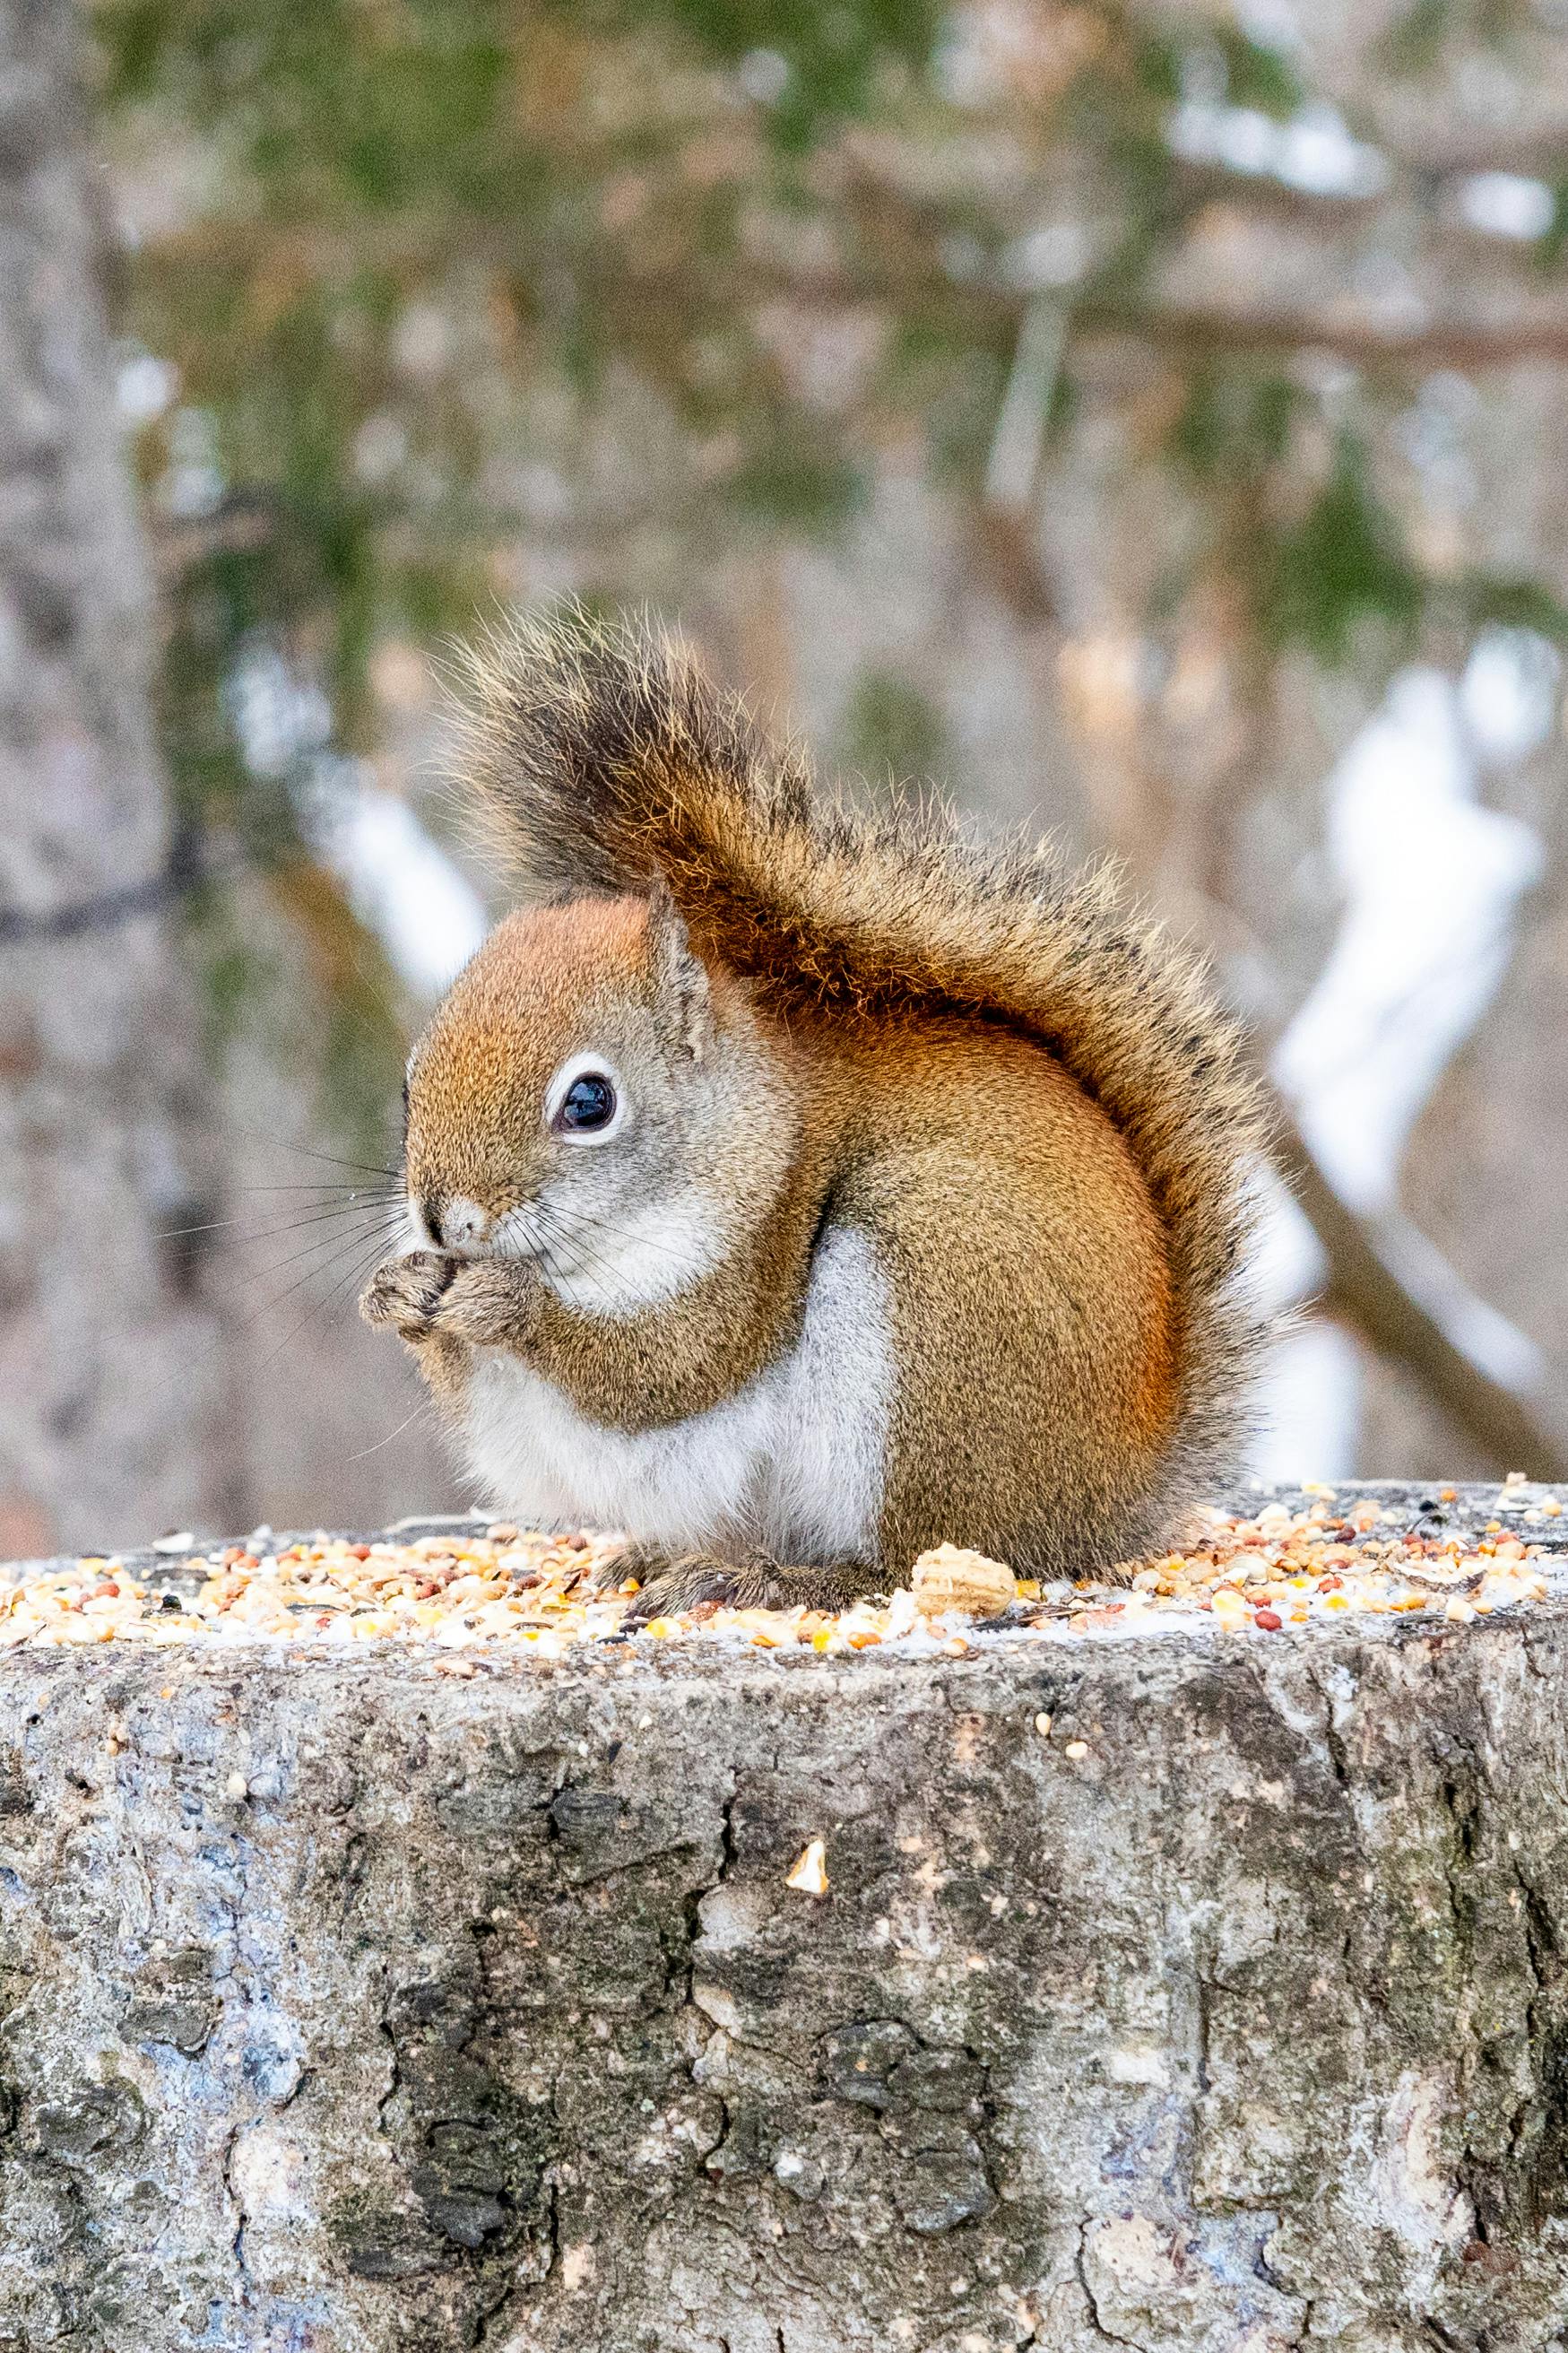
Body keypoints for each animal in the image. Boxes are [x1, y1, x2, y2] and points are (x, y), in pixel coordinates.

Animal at [362, 605, 1269, 1619]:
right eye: (411, 1083)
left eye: (589, 1102)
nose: (443, 1216)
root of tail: (1117, 1492)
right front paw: (399, 1291)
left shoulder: (753, 1260)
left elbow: (666, 1368)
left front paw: (508, 1304)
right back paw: (665, 1558)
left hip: (937, 1302)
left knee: (918, 1554)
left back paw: (784, 1578)